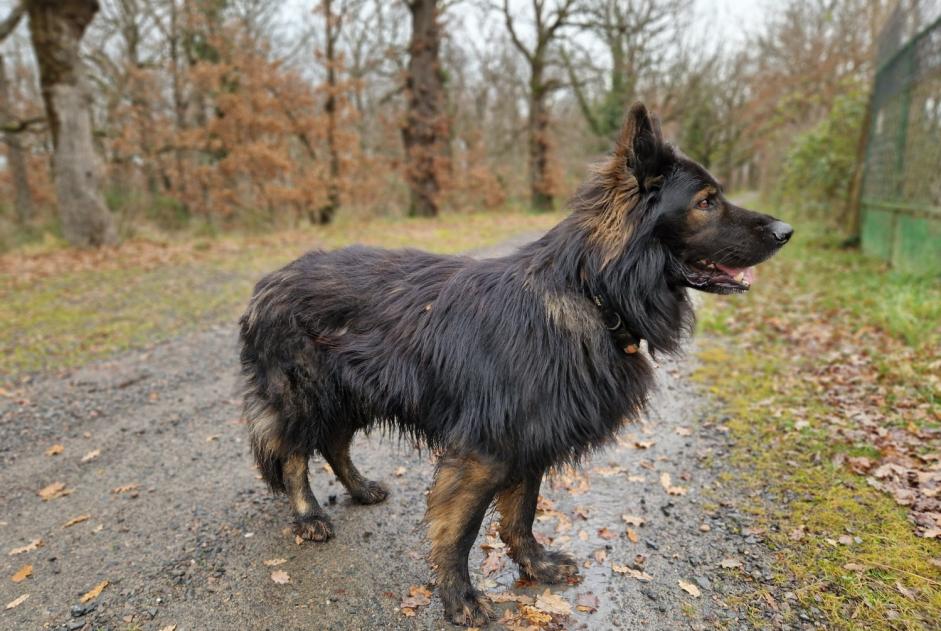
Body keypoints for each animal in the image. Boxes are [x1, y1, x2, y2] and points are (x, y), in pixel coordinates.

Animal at [239, 103, 788, 628]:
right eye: (705, 202)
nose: (787, 230)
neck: (592, 292)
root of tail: (268, 281)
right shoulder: (486, 450)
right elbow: (459, 530)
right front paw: (459, 597)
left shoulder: (530, 441)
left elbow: (521, 514)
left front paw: (535, 565)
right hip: (306, 396)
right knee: (293, 455)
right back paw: (309, 516)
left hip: (354, 394)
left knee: (334, 442)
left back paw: (360, 488)